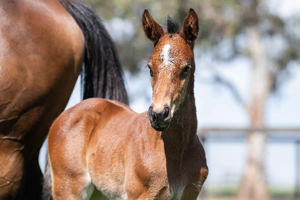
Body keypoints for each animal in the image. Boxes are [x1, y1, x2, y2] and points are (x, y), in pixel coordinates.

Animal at [49, 8, 209, 199]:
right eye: (149, 68)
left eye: (186, 68)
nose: (158, 115)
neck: (178, 151)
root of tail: (62, 117)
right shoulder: (140, 194)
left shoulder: (190, 193)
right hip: (68, 189)